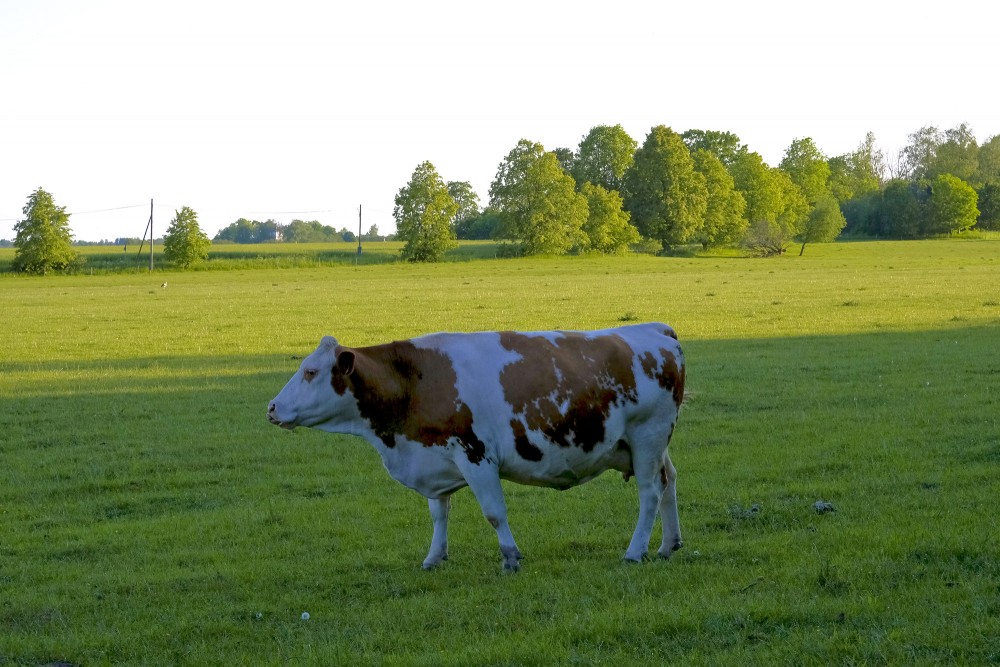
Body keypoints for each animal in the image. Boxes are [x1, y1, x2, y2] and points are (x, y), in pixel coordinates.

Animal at [267, 323, 685, 572]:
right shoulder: (435, 455)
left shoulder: (476, 455)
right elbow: (439, 513)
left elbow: (494, 513)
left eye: (310, 372)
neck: (414, 381)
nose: (271, 408)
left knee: (650, 493)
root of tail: (656, 329)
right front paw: (434, 557)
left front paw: (511, 558)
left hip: (647, 435)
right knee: (669, 482)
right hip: (653, 444)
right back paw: (668, 545)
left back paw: (635, 551)